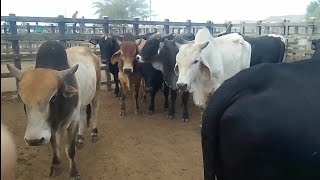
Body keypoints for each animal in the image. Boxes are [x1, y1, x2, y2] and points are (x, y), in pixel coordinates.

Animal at [6, 40, 100, 179]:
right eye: (24, 101)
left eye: (53, 97)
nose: (34, 140)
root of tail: (91, 53)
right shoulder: (52, 127)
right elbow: (54, 144)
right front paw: (56, 164)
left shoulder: (73, 122)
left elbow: (70, 150)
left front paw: (74, 172)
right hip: (82, 103)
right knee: (83, 115)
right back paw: (80, 138)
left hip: (96, 93)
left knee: (94, 112)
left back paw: (94, 132)